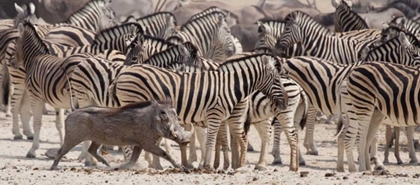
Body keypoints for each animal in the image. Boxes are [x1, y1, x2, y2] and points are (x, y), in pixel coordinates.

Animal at [109, 53, 292, 171]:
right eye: (277, 80)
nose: (286, 102)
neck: (230, 85)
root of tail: (123, 73)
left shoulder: (216, 117)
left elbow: (213, 140)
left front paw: (208, 165)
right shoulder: (215, 114)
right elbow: (211, 141)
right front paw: (209, 166)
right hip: (132, 100)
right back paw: (132, 163)